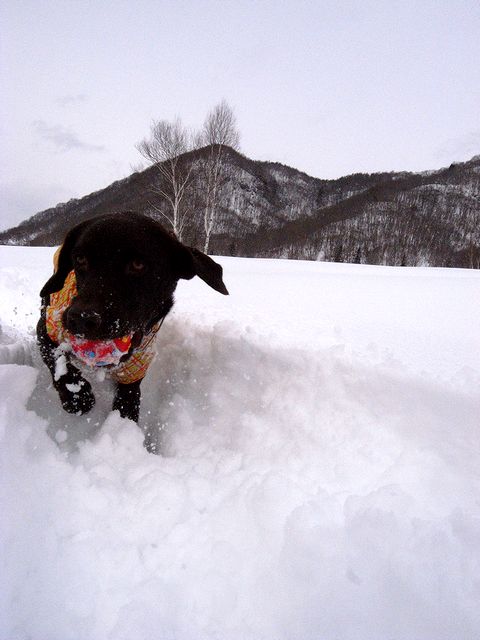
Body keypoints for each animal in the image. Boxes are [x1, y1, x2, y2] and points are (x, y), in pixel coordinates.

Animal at [36, 212, 228, 428]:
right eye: (80, 259)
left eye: (138, 264)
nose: (80, 319)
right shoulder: (46, 328)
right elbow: (57, 360)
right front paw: (77, 396)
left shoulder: (140, 362)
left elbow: (129, 396)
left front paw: (123, 420)